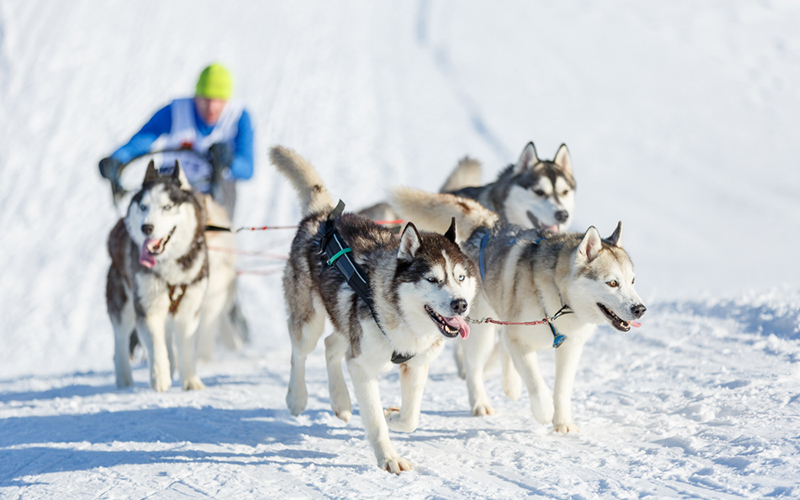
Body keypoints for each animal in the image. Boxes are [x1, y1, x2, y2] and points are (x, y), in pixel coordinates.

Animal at [105, 161, 206, 390]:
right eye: (143, 207)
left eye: (167, 207)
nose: (147, 227)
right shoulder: (147, 308)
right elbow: (155, 344)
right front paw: (160, 377)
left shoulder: (189, 311)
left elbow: (186, 346)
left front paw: (190, 380)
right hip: (122, 305)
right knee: (120, 342)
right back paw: (124, 379)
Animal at [272, 146, 478, 472]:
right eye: (432, 279)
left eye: (460, 277)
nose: (461, 304)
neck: (403, 321)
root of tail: (321, 217)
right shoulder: (362, 367)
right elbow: (375, 421)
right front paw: (389, 458)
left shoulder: (415, 365)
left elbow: (410, 418)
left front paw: (394, 415)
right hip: (309, 323)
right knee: (300, 354)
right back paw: (297, 398)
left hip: (345, 322)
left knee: (331, 346)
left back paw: (341, 401)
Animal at [390, 189, 648, 432]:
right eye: (612, 283)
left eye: (633, 281)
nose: (640, 309)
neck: (559, 300)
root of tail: (488, 225)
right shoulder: (519, 339)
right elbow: (536, 384)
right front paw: (544, 412)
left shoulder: (571, 346)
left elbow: (562, 389)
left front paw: (562, 422)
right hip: (482, 332)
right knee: (474, 368)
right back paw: (480, 403)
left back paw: (511, 384)